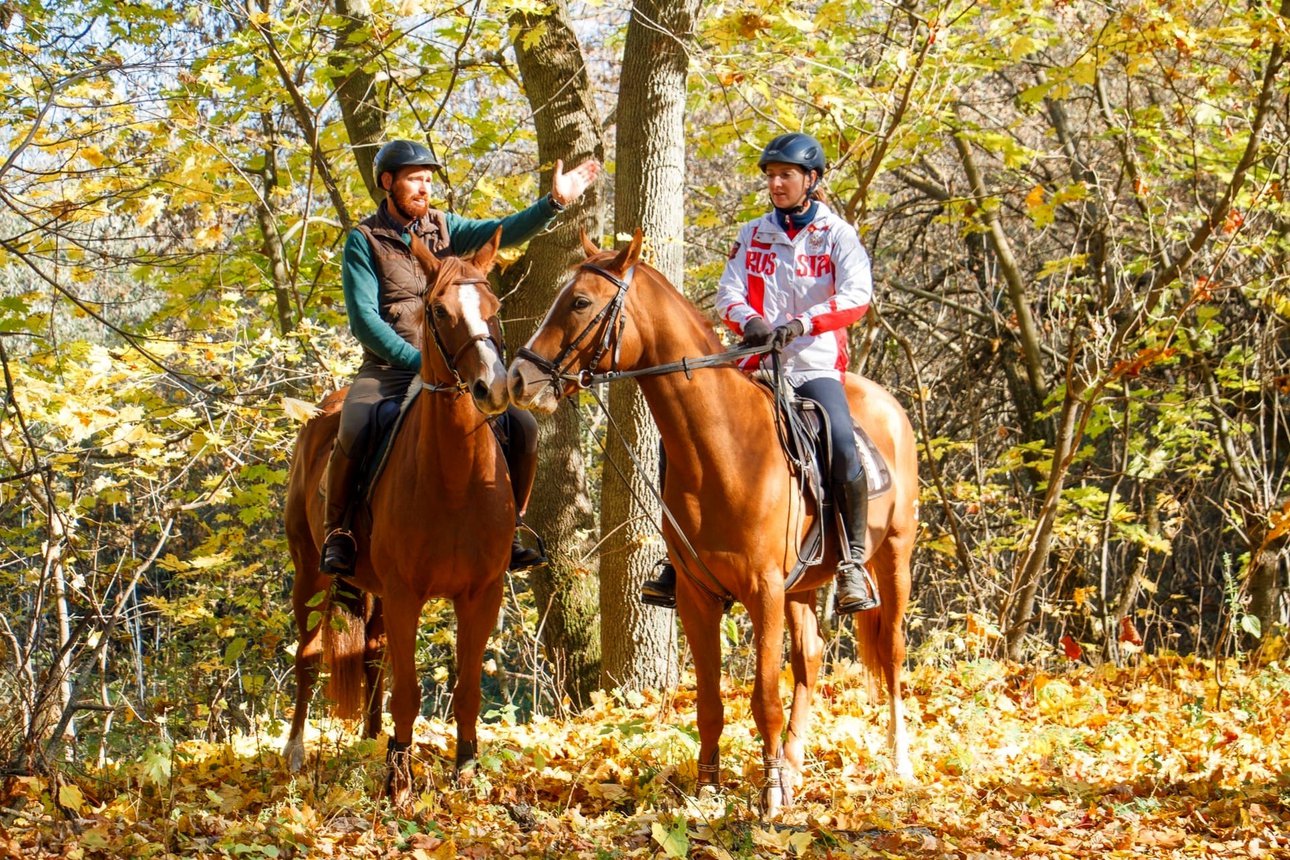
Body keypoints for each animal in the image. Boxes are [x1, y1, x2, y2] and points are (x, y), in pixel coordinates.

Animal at [283, 228, 513, 799]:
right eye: (439, 311)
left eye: (494, 308)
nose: (493, 389)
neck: (454, 480)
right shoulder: (409, 593)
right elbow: (407, 692)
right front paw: (399, 782)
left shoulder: (482, 593)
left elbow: (468, 688)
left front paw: (466, 772)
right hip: (310, 572)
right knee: (308, 656)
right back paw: (296, 751)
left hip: (376, 590)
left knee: (371, 651)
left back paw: (369, 741)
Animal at [503, 232, 918, 820]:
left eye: (580, 302)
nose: (519, 378)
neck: (722, 446)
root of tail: (887, 406)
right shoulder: (698, 596)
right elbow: (709, 701)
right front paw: (707, 793)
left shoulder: (764, 591)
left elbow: (764, 696)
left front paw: (770, 796)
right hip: (803, 586)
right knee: (810, 659)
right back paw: (794, 765)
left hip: (894, 557)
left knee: (892, 652)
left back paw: (897, 761)